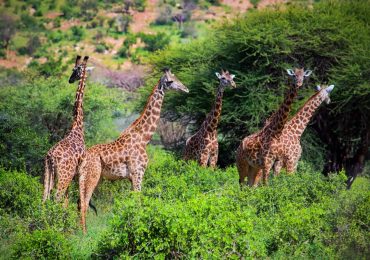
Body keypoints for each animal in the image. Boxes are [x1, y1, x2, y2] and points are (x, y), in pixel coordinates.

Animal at [42, 55, 90, 204]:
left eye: (77, 70)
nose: (70, 80)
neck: (77, 126)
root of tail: (51, 157)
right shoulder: (79, 171)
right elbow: (71, 200)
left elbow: (67, 200)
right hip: (64, 176)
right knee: (57, 198)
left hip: (48, 173)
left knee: (44, 198)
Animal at [77, 68, 188, 233]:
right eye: (171, 81)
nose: (186, 89)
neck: (144, 138)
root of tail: (83, 158)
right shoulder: (138, 172)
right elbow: (138, 200)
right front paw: (138, 227)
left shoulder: (131, 177)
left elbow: (132, 201)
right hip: (92, 176)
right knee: (84, 203)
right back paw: (84, 234)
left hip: (84, 177)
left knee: (79, 203)